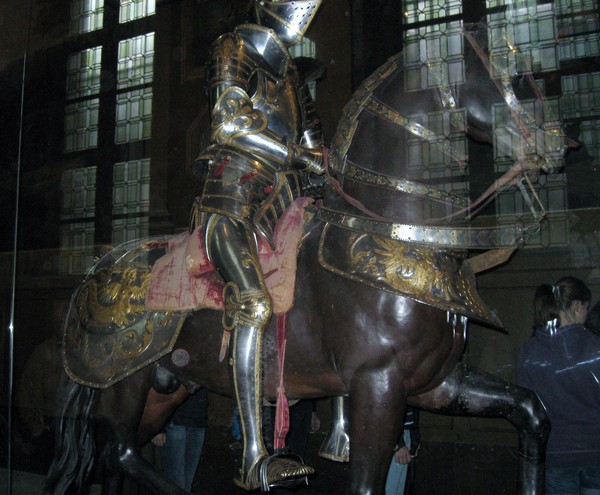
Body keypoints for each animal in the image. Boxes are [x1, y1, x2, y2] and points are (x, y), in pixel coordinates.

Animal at [42, 25, 568, 495]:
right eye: (501, 68)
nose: (559, 142)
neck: (398, 234)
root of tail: (99, 269)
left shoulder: (435, 383)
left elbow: (533, 412)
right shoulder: (380, 386)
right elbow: (366, 484)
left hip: (164, 388)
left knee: (116, 457)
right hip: (124, 382)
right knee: (122, 451)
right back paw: (256, 467)